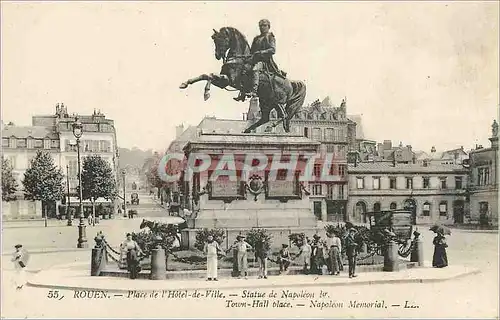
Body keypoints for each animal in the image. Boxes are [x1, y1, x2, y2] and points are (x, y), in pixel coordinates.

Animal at [178, 26, 306, 134]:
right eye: (215, 39)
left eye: (222, 39)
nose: (217, 55)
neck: (237, 58)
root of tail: (290, 82)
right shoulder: (223, 82)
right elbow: (206, 75)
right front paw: (185, 83)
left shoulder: (230, 81)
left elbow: (209, 76)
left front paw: (206, 93)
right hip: (266, 102)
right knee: (266, 118)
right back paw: (248, 129)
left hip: (276, 100)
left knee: (284, 115)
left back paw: (273, 127)